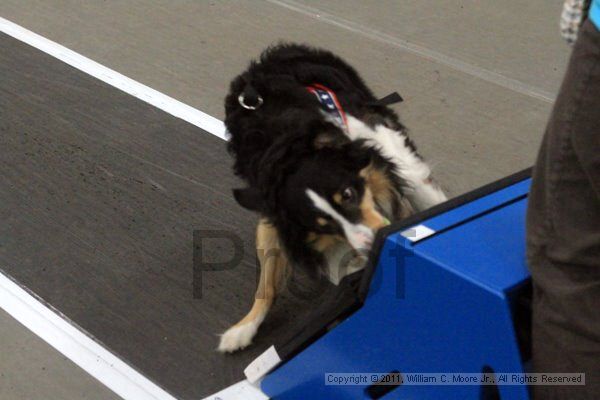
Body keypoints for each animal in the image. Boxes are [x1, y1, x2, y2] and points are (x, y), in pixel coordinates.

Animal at [217, 43, 446, 354]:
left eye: (348, 194)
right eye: (322, 224)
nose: (375, 244)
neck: (286, 151)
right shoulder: (274, 215)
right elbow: (268, 281)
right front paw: (244, 327)